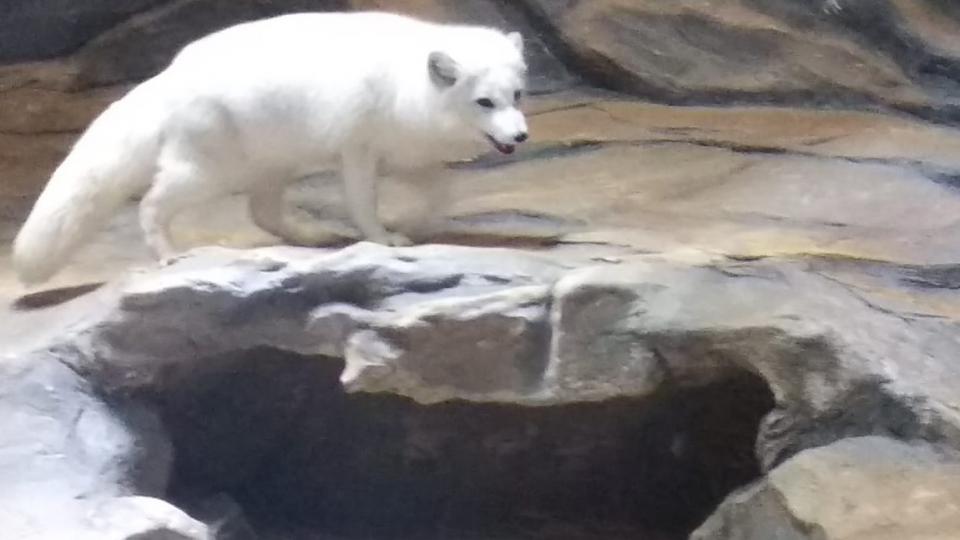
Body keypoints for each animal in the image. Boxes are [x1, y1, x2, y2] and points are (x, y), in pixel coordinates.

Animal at [11, 11, 528, 282]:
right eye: (484, 102)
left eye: (517, 96)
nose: (521, 137)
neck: (406, 85)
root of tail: (166, 78)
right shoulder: (357, 150)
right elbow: (363, 203)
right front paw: (383, 239)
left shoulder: (406, 152)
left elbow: (440, 194)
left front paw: (412, 225)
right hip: (205, 171)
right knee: (153, 204)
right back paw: (167, 254)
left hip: (275, 165)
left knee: (262, 212)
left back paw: (315, 236)